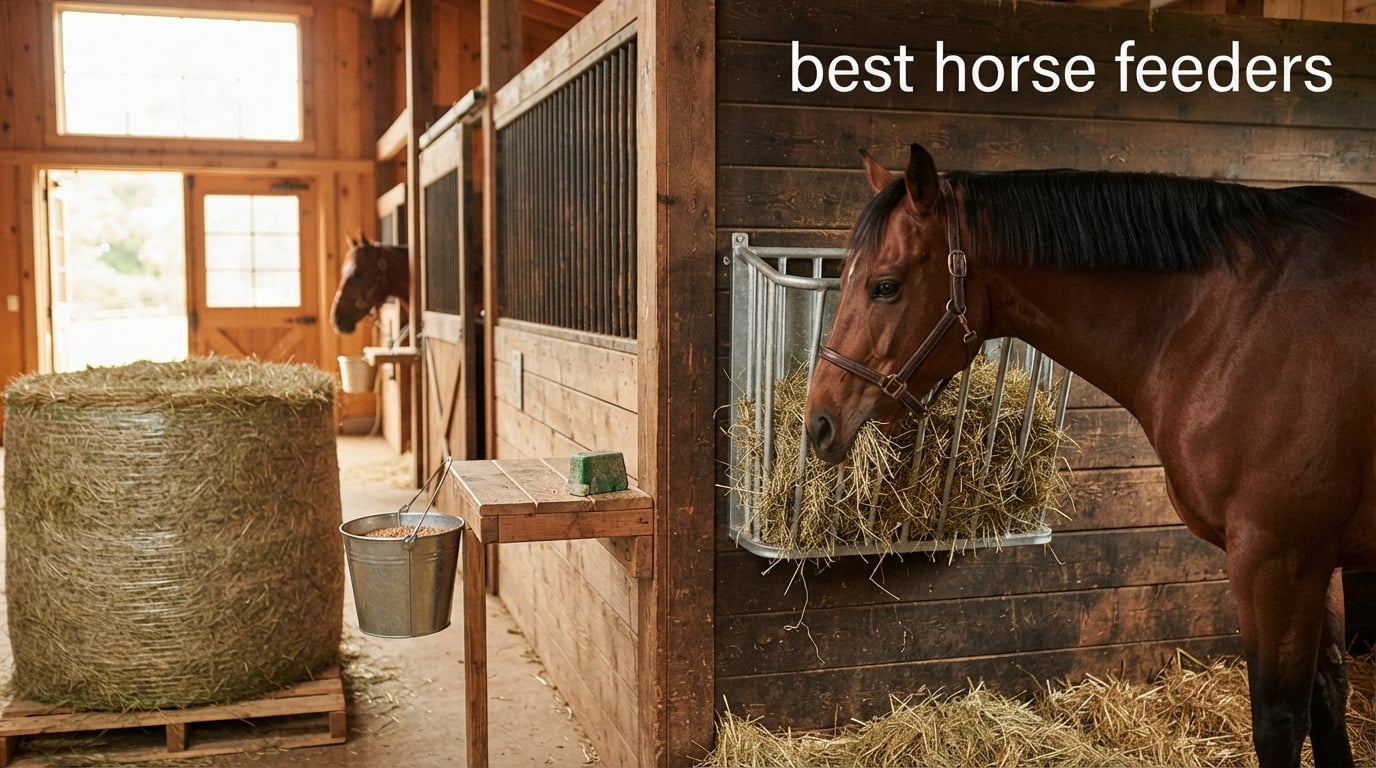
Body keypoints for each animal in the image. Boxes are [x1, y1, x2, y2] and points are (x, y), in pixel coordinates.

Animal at [804, 143, 1375, 768]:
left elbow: (1280, 722)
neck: (1233, 326)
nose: (818, 423)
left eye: (885, 286)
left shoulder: (1277, 558)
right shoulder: (1316, 560)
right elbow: (1328, 697)